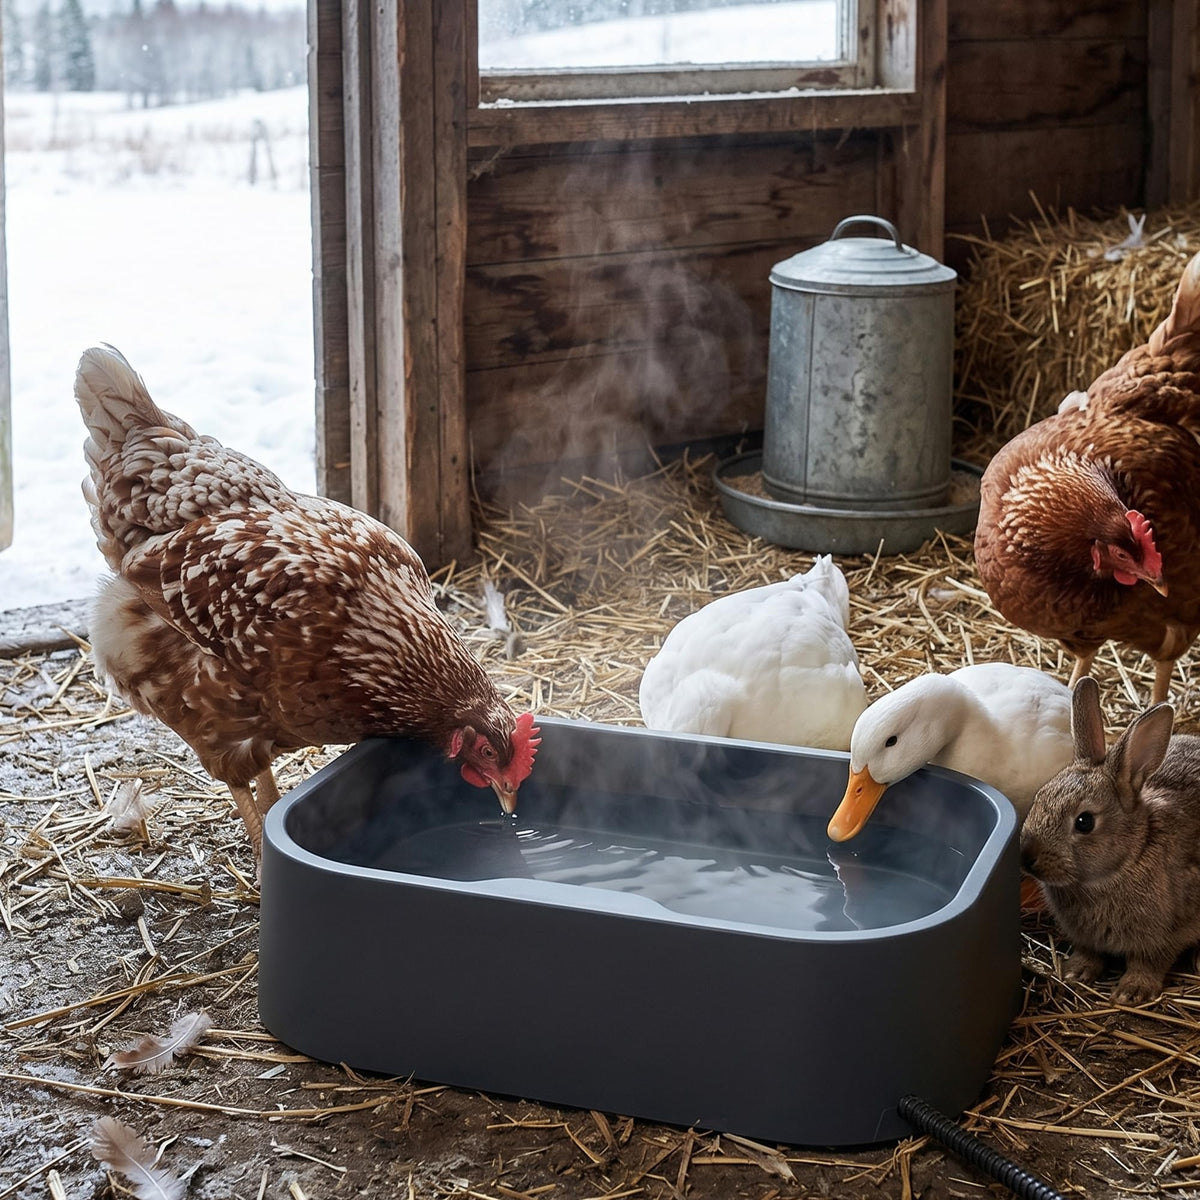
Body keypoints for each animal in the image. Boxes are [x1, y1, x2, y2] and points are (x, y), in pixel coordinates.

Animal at [1019, 675, 1200, 1005]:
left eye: (1084, 822)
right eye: (1040, 796)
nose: (1027, 857)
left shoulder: (1167, 933)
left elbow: (1149, 963)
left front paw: (1132, 992)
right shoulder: (1085, 938)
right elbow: (1089, 953)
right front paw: (1075, 972)